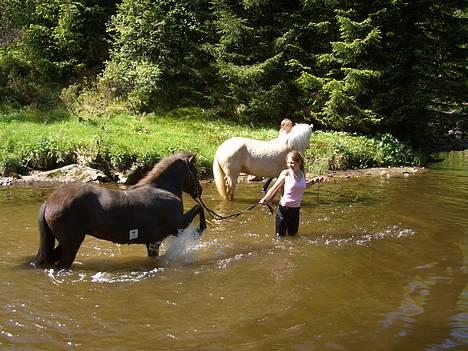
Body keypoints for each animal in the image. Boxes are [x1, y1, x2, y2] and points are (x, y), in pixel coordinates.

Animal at [33, 151, 206, 270]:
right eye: (195, 170)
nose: (200, 190)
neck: (162, 189)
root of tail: (49, 202)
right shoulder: (178, 225)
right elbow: (199, 208)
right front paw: (199, 231)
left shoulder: (153, 242)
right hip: (71, 243)